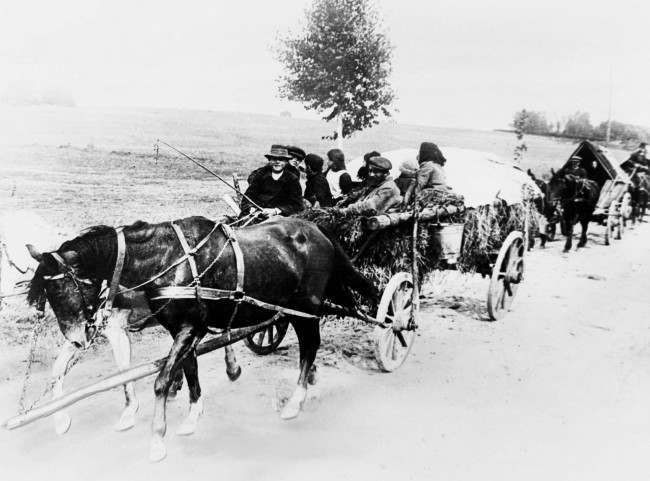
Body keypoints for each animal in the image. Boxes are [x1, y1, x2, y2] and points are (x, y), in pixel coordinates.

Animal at [27, 216, 374, 460]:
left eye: (59, 287)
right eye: (46, 291)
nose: (76, 338)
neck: (169, 260)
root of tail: (316, 229)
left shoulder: (190, 328)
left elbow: (161, 380)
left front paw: (157, 438)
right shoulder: (184, 328)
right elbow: (189, 367)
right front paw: (192, 415)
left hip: (306, 307)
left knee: (309, 346)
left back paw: (295, 400)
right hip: (288, 308)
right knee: (304, 344)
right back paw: (307, 378)